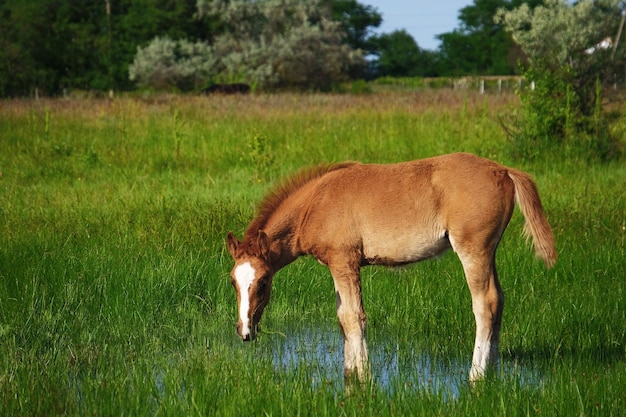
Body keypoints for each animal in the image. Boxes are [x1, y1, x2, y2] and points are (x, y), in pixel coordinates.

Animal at [225, 152, 556, 380]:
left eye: (264, 281)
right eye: (232, 281)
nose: (244, 331)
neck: (316, 203)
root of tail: (503, 170)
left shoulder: (345, 261)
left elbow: (354, 317)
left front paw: (363, 378)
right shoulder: (337, 265)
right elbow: (343, 317)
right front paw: (349, 374)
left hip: (473, 250)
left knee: (484, 304)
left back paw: (476, 377)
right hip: (490, 252)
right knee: (499, 300)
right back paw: (493, 370)